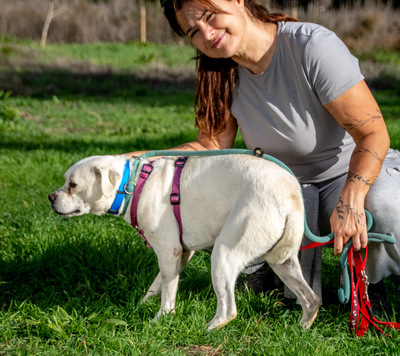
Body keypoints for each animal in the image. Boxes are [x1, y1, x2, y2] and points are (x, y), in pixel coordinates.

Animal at [48, 154, 320, 330]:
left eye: (73, 185)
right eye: (65, 181)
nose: (50, 197)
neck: (133, 184)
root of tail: (291, 194)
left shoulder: (169, 252)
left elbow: (168, 293)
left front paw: (160, 319)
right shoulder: (181, 254)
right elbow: (156, 285)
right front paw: (142, 305)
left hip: (223, 254)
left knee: (228, 310)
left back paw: (206, 329)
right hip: (283, 262)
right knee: (311, 299)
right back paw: (301, 327)